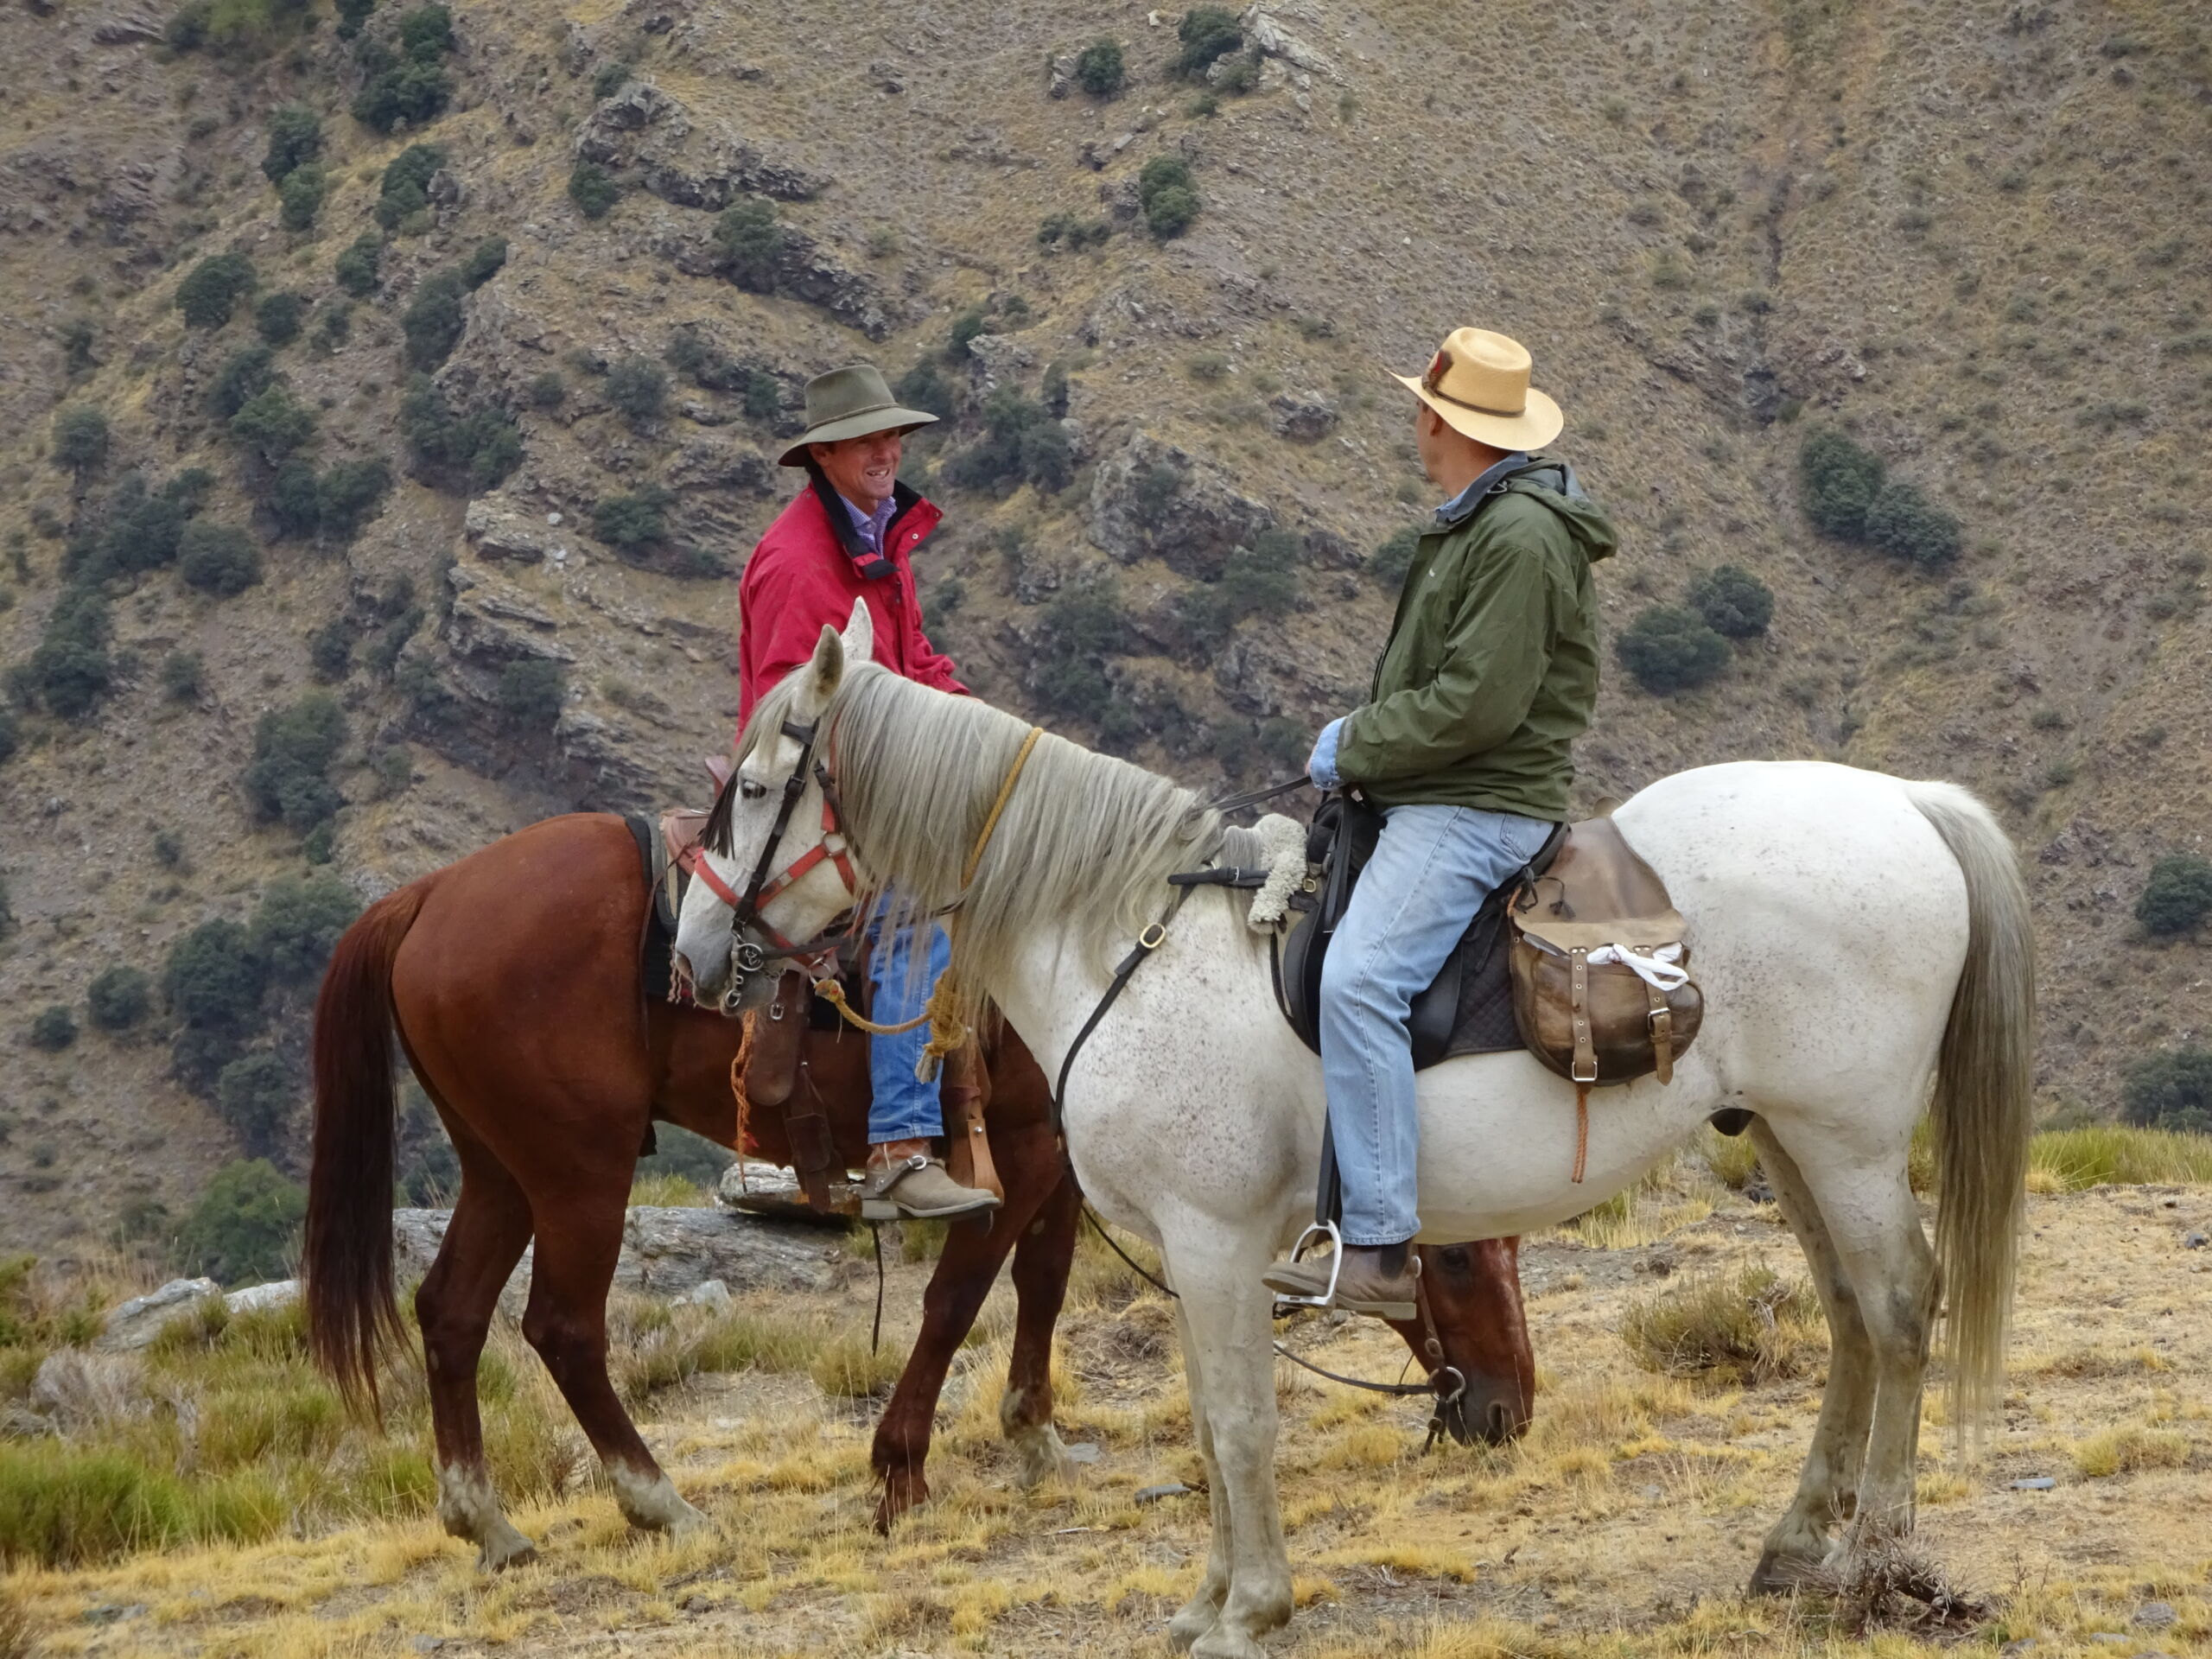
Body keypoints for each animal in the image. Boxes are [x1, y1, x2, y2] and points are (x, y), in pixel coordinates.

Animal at [302, 818, 1530, 1574]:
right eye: (1453, 1253)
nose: (1507, 1412)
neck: (1118, 959)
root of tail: (427, 897)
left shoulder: (1056, 1157)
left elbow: (1041, 1285)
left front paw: (1034, 1440)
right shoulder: (1016, 1152)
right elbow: (959, 1299)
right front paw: (900, 1472)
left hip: (500, 1167)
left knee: (451, 1314)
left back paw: (489, 1524)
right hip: (579, 1170)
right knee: (561, 1327)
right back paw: (658, 1500)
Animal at [677, 610, 2035, 1659]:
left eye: (756, 789)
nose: (691, 951)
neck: (1129, 943)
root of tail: (1907, 805)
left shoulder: (1218, 1242)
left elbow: (1237, 1424)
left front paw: (1251, 1610)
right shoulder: (1194, 1255)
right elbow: (1207, 1422)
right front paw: (1206, 1601)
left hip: (1849, 1141)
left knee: (1899, 1304)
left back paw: (1876, 1549)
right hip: (1790, 1142)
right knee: (1849, 1314)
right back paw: (1794, 1543)